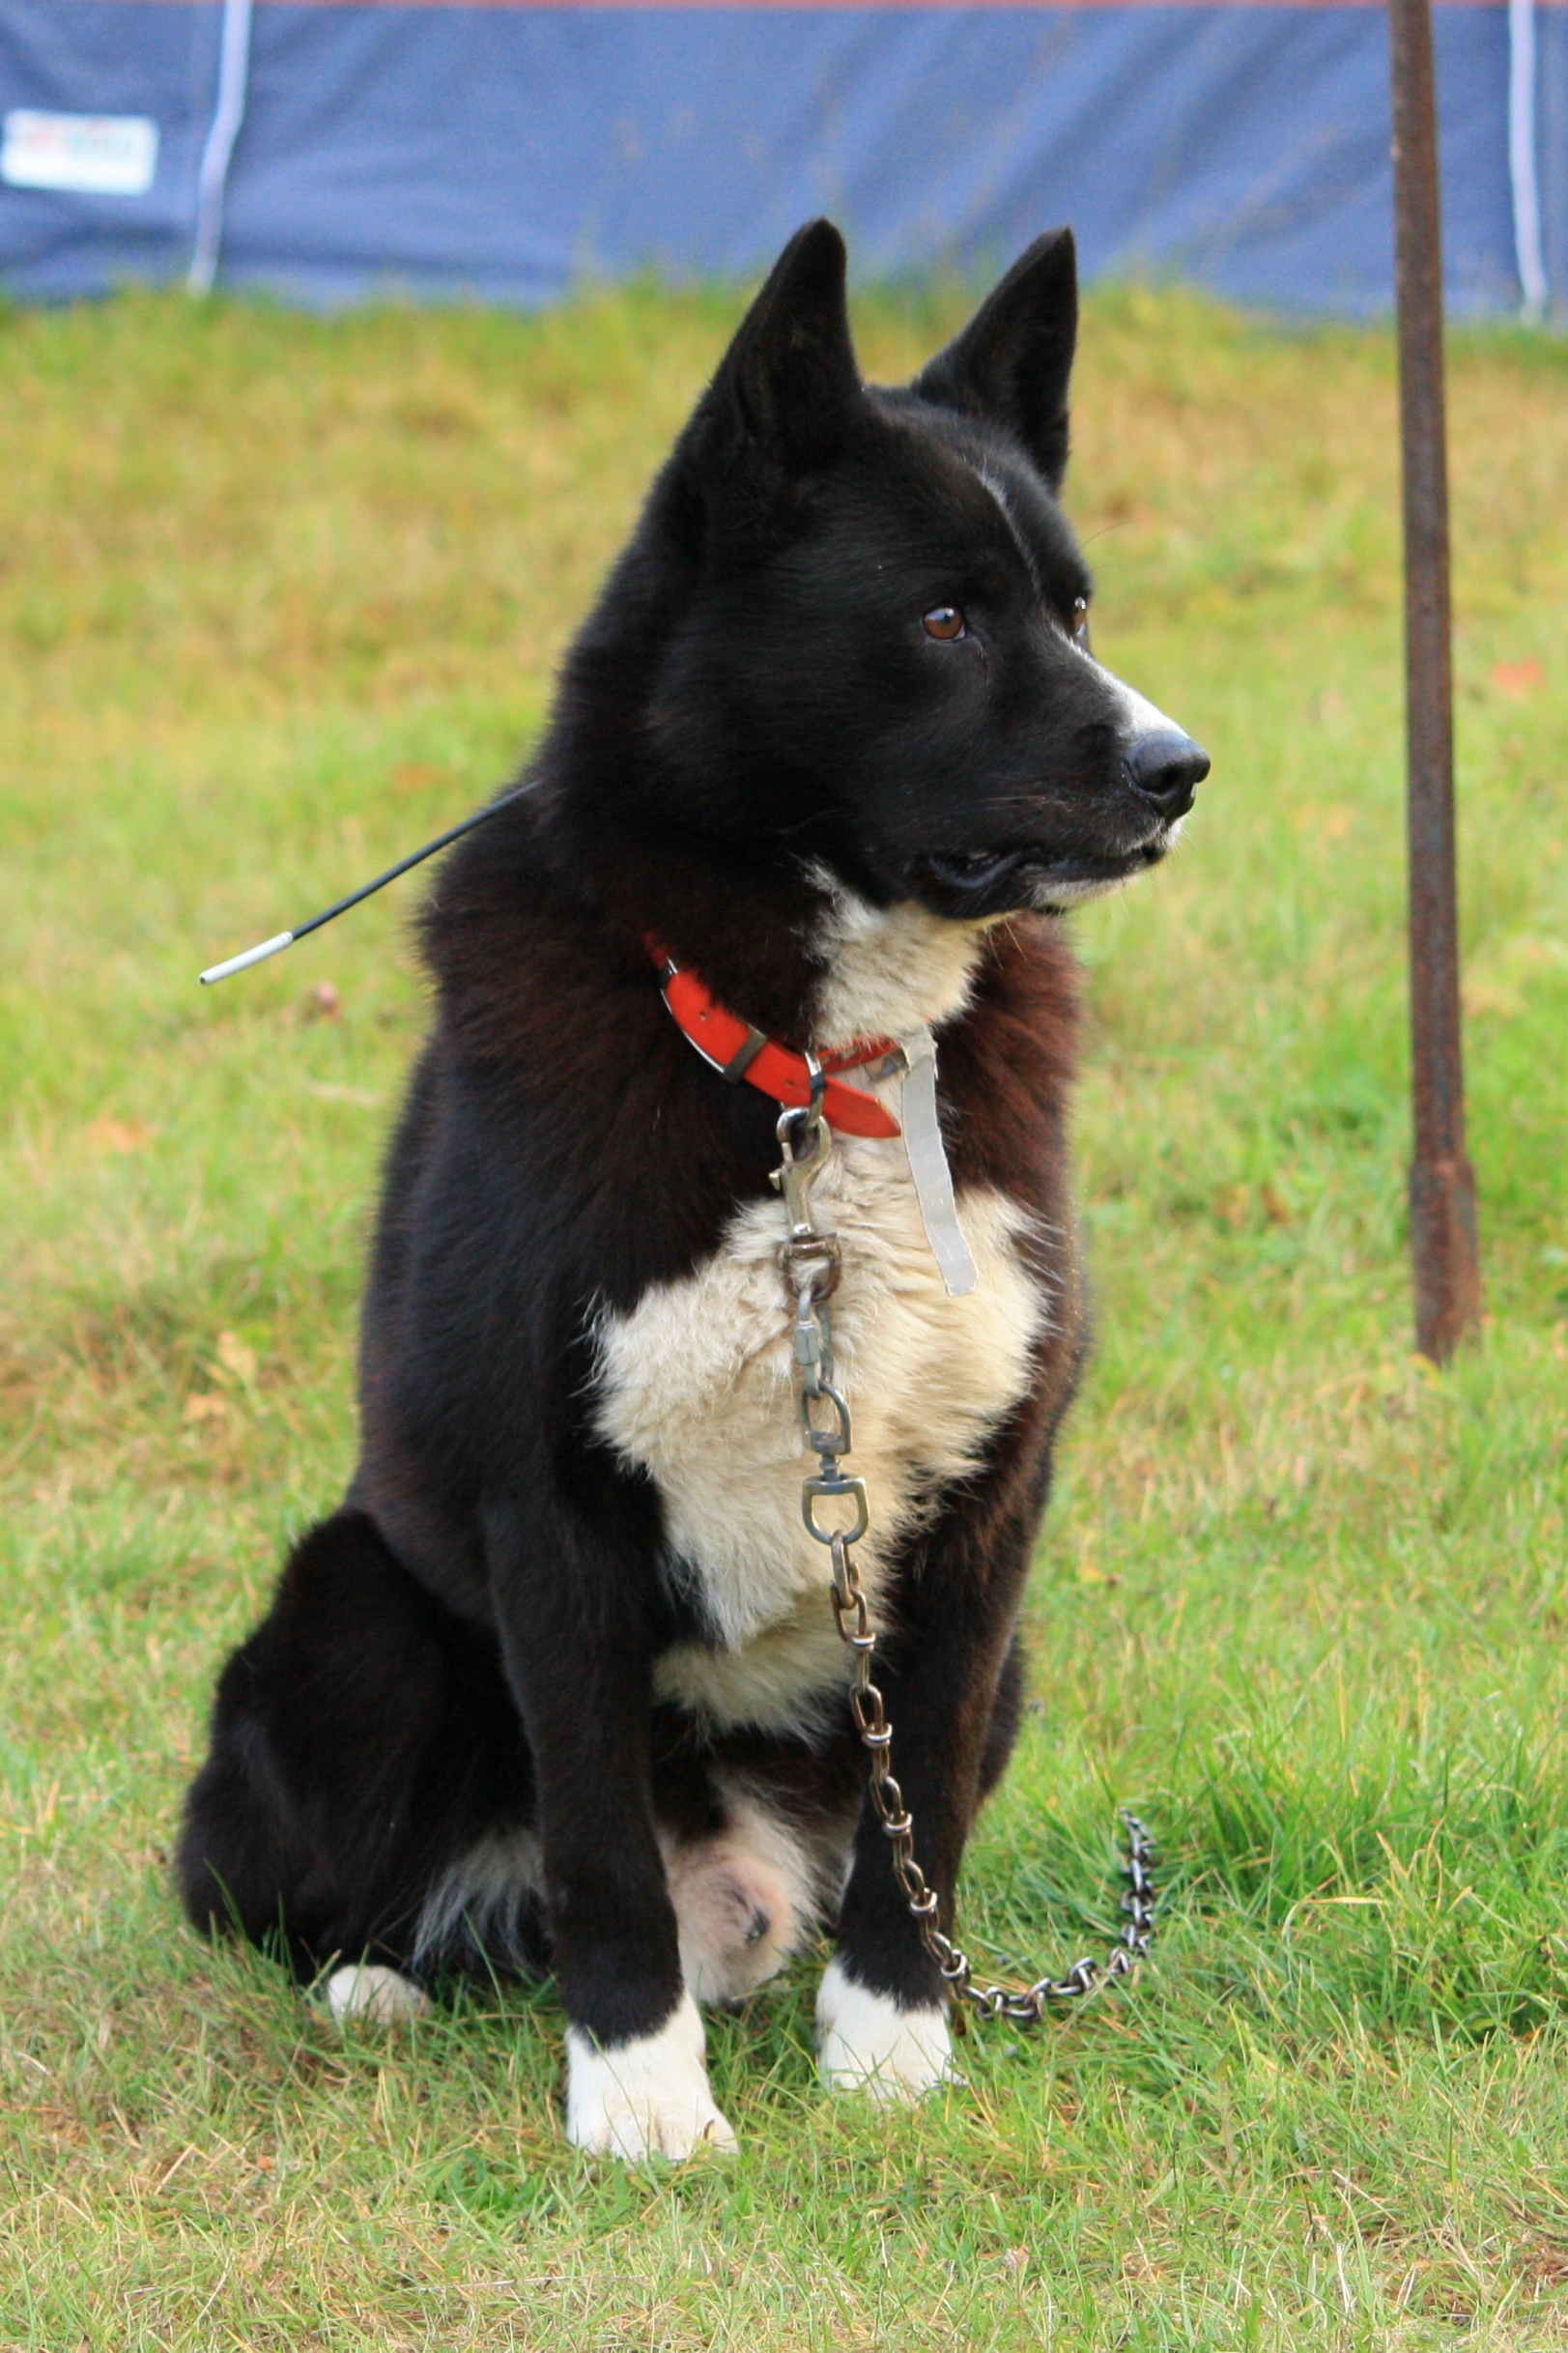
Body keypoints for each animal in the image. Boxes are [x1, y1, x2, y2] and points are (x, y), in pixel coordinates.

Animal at [186, 216, 1212, 2155]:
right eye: (943, 618)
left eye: (1074, 610)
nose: (1176, 771)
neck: (812, 1074)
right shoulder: (552, 1522)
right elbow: (596, 1847)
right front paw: (642, 2110)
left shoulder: (978, 1525)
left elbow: (916, 1827)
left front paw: (890, 2056)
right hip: (353, 1615)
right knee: (322, 1899)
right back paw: (379, 1984)